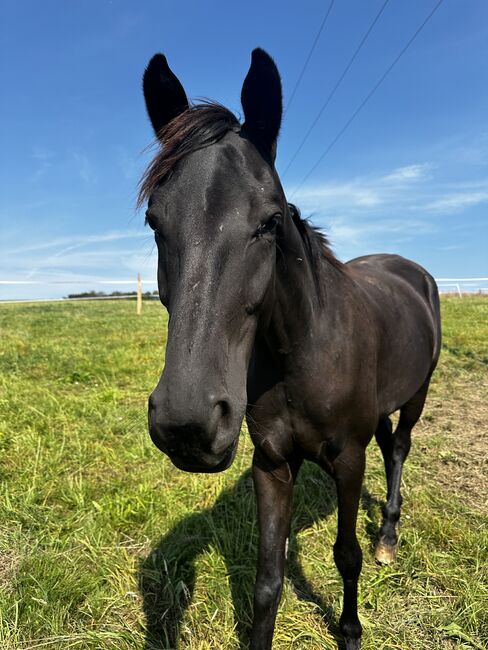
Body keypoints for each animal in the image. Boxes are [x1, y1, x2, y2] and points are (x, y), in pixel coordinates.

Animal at [140, 48, 442, 644]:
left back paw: (388, 537)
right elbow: (267, 579)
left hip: (417, 395)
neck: (303, 353)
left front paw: (350, 631)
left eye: (270, 220)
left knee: (398, 449)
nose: (188, 424)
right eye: (154, 220)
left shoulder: (348, 461)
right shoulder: (272, 463)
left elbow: (345, 555)